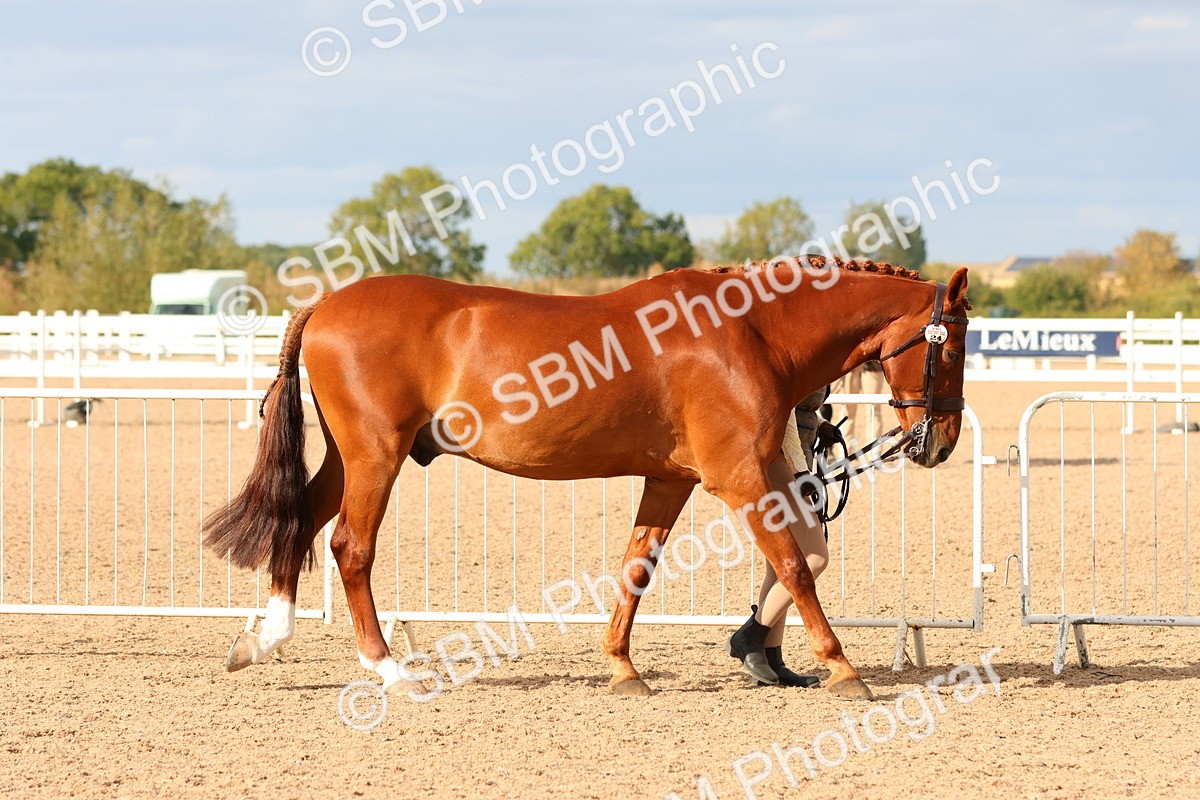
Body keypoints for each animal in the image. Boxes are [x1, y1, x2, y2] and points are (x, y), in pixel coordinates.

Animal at [203, 257, 971, 700]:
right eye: (957, 343)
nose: (940, 443)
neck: (750, 329)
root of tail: (325, 305)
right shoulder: (743, 480)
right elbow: (794, 566)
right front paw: (843, 668)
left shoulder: (672, 480)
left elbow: (637, 568)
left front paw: (623, 667)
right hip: (375, 456)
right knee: (348, 547)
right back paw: (389, 667)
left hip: (348, 456)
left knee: (300, 522)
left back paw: (262, 640)